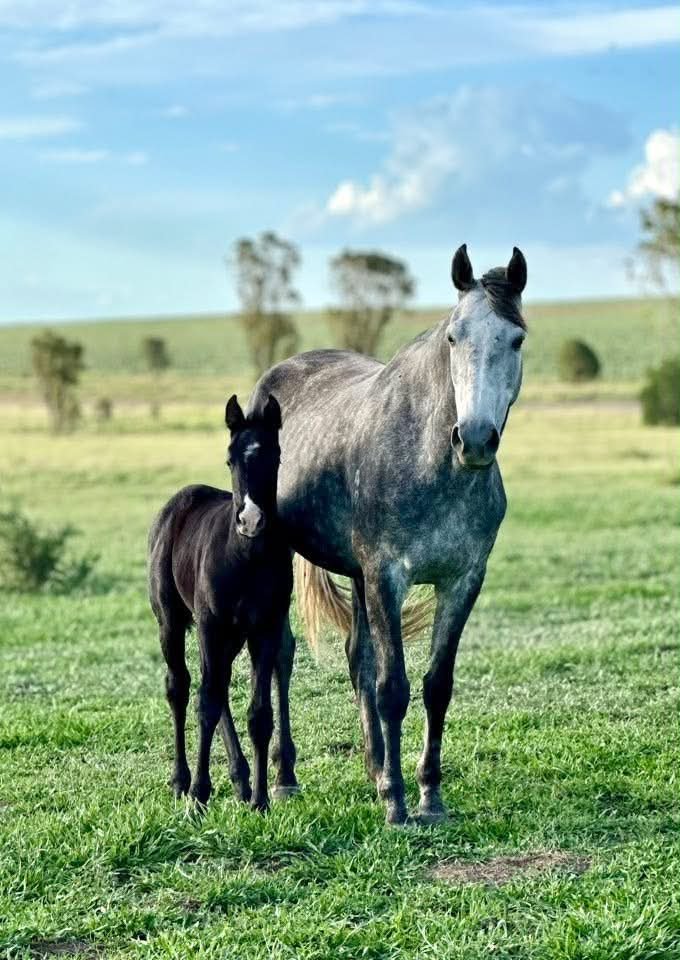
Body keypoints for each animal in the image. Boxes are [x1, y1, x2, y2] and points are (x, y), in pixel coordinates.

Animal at [147, 394, 294, 811]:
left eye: (275, 456)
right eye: (229, 459)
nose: (251, 520)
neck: (245, 559)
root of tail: (180, 500)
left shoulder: (265, 628)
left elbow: (259, 713)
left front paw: (261, 800)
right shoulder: (211, 624)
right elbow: (206, 703)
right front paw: (199, 796)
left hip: (230, 634)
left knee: (218, 685)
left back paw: (241, 781)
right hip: (172, 621)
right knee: (181, 687)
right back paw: (181, 780)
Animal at [249, 244, 527, 824]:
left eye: (516, 339)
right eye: (454, 337)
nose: (474, 439)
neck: (433, 463)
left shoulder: (463, 580)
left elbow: (435, 686)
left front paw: (427, 794)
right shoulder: (387, 575)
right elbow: (392, 688)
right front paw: (398, 803)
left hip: (356, 575)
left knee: (357, 657)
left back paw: (374, 767)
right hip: (283, 558)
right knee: (281, 655)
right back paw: (285, 778)